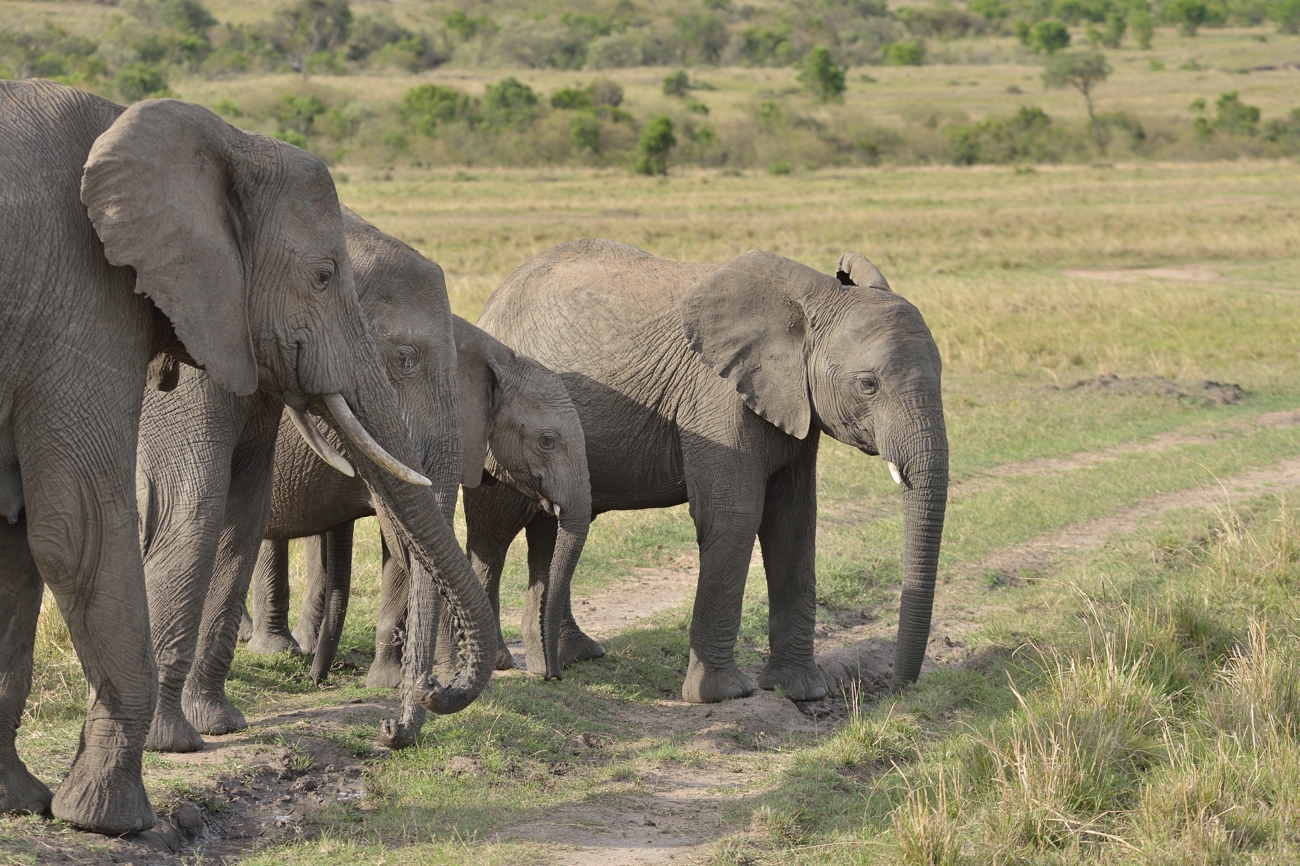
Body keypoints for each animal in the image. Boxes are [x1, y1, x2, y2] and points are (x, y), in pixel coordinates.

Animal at [141, 205, 496, 754]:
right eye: (405, 358)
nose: (390, 728)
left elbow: (245, 508)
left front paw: (218, 722)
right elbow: (198, 500)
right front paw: (177, 737)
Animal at [244, 313, 595, 686]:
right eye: (547, 441)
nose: (554, 675)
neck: (500, 357)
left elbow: (404, 550)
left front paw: (392, 679)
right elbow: (410, 547)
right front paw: (444, 672)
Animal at [465, 237, 946, 702]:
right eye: (868, 385)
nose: (897, 689)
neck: (813, 301)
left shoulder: (794, 404)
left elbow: (793, 523)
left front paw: (802, 692)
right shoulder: (716, 397)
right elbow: (734, 516)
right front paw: (724, 695)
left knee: (552, 526)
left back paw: (567, 659)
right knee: (494, 528)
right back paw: (502, 662)